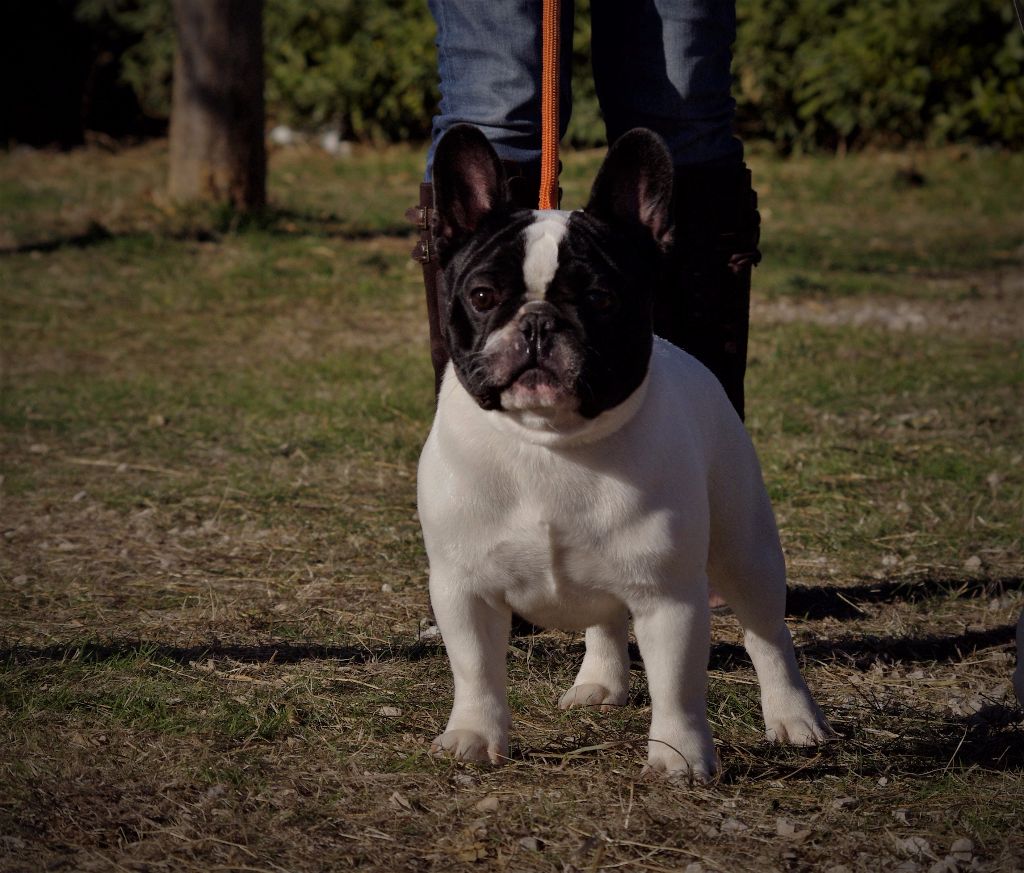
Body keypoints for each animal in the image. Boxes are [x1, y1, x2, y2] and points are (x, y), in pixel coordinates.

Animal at [415, 124, 831, 777]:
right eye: (482, 295)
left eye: (603, 300)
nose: (538, 322)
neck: (549, 443)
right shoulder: (464, 588)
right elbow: (476, 671)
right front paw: (474, 735)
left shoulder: (669, 597)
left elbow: (678, 684)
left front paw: (678, 755)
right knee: (606, 617)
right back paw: (601, 682)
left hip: (746, 550)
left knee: (768, 636)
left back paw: (795, 718)